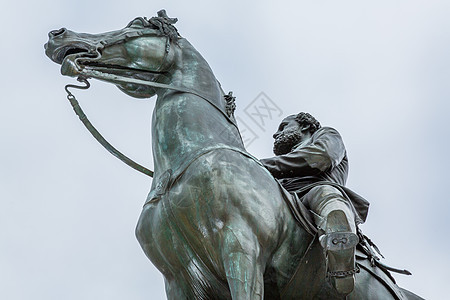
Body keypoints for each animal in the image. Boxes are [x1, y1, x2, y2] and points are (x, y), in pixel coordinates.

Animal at [44, 9, 422, 300]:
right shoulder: (178, 278)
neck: (181, 165)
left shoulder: (241, 248)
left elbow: (318, 153)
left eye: (137, 23)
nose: (58, 36)